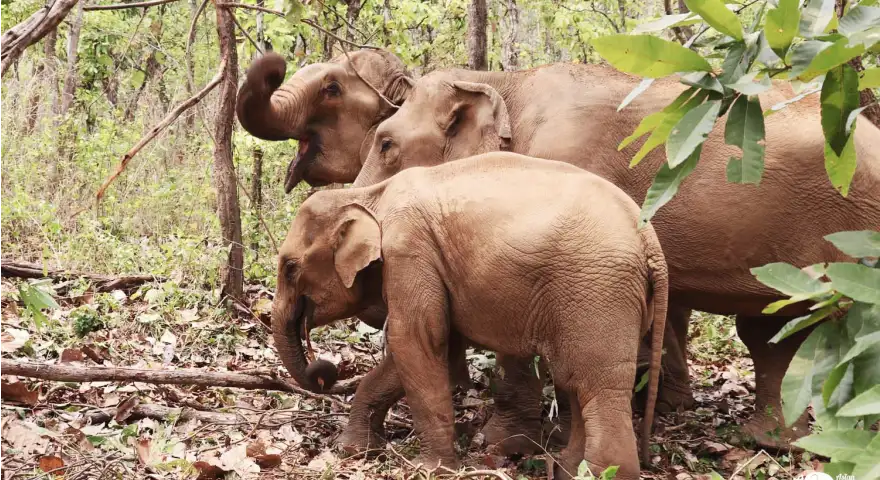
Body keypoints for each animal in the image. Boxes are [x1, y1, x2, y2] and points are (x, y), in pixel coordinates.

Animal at [272, 152, 669, 479]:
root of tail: (650, 239)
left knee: (596, 387)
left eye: (290, 268)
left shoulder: (409, 251)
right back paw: (568, 470)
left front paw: (429, 469)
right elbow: (436, 349)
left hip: (597, 291)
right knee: (575, 382)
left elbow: (415, 340)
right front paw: (354, 450)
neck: (371, 196)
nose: (323, 371)